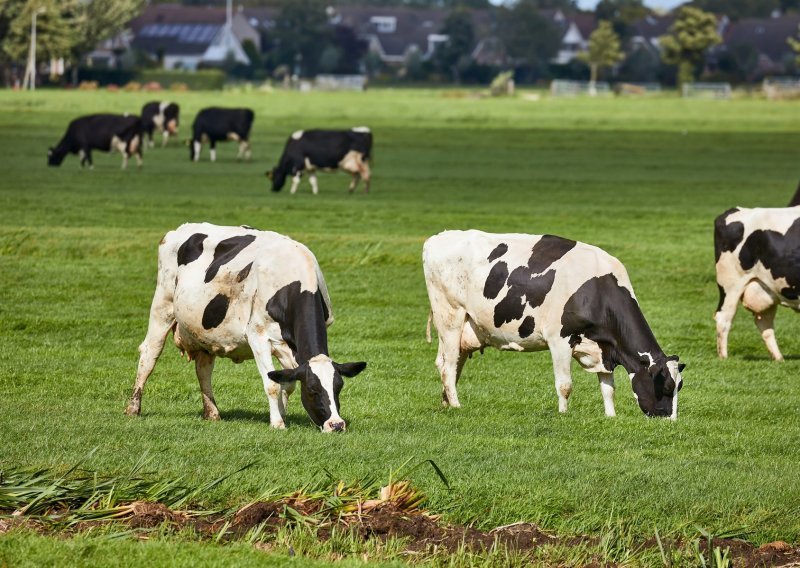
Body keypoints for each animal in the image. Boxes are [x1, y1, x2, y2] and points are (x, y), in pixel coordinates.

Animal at [125, 222, 366, 430]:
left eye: (338, 387)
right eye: (313, 390)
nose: (336, 425)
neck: (293, 280)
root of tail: (180, 229)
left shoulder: (287, 345)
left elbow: (286, 382)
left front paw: (282, 414)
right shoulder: (257, 336)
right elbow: (272, 384)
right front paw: (277, 423)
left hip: (204, 333)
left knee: (203, 369)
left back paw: (212, 413)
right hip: (162, 306)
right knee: (149, 355)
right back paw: (133, 409)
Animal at [422, 229, 684, 420]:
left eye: (679, 387)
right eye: (666, 387)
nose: (669, 421)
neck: (597, 291)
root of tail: (437, 238)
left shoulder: (604, 348)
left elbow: (608, 387)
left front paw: (611, 416)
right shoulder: (559, 339)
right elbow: (565, 385)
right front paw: (563, 414)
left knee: (450, 363)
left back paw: (446, 403)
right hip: (450, 316)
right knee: (448, 366)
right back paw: (457, 405)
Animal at [712, 207, 800, 360]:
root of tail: (736, 209)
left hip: (768, 289)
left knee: (764, 323)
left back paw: (779, 359)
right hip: (730, 285)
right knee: (724, 317)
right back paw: (723, 358)